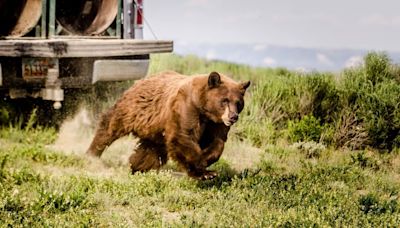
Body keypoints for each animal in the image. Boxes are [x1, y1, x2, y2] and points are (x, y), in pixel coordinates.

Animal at [86, 71, 250, 180]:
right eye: (225, 100)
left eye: (238, 102)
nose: (233, 117)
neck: (204, 108)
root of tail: (142, 80)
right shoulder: (187, 108)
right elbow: (183, 136)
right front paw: (204, 172)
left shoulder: (215, 123)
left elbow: (217, 142)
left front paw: (207, 160)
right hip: (134, 109)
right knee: (111, 126)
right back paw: (92, 153)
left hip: (156, 129)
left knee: (151, 150)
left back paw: (137, 167)